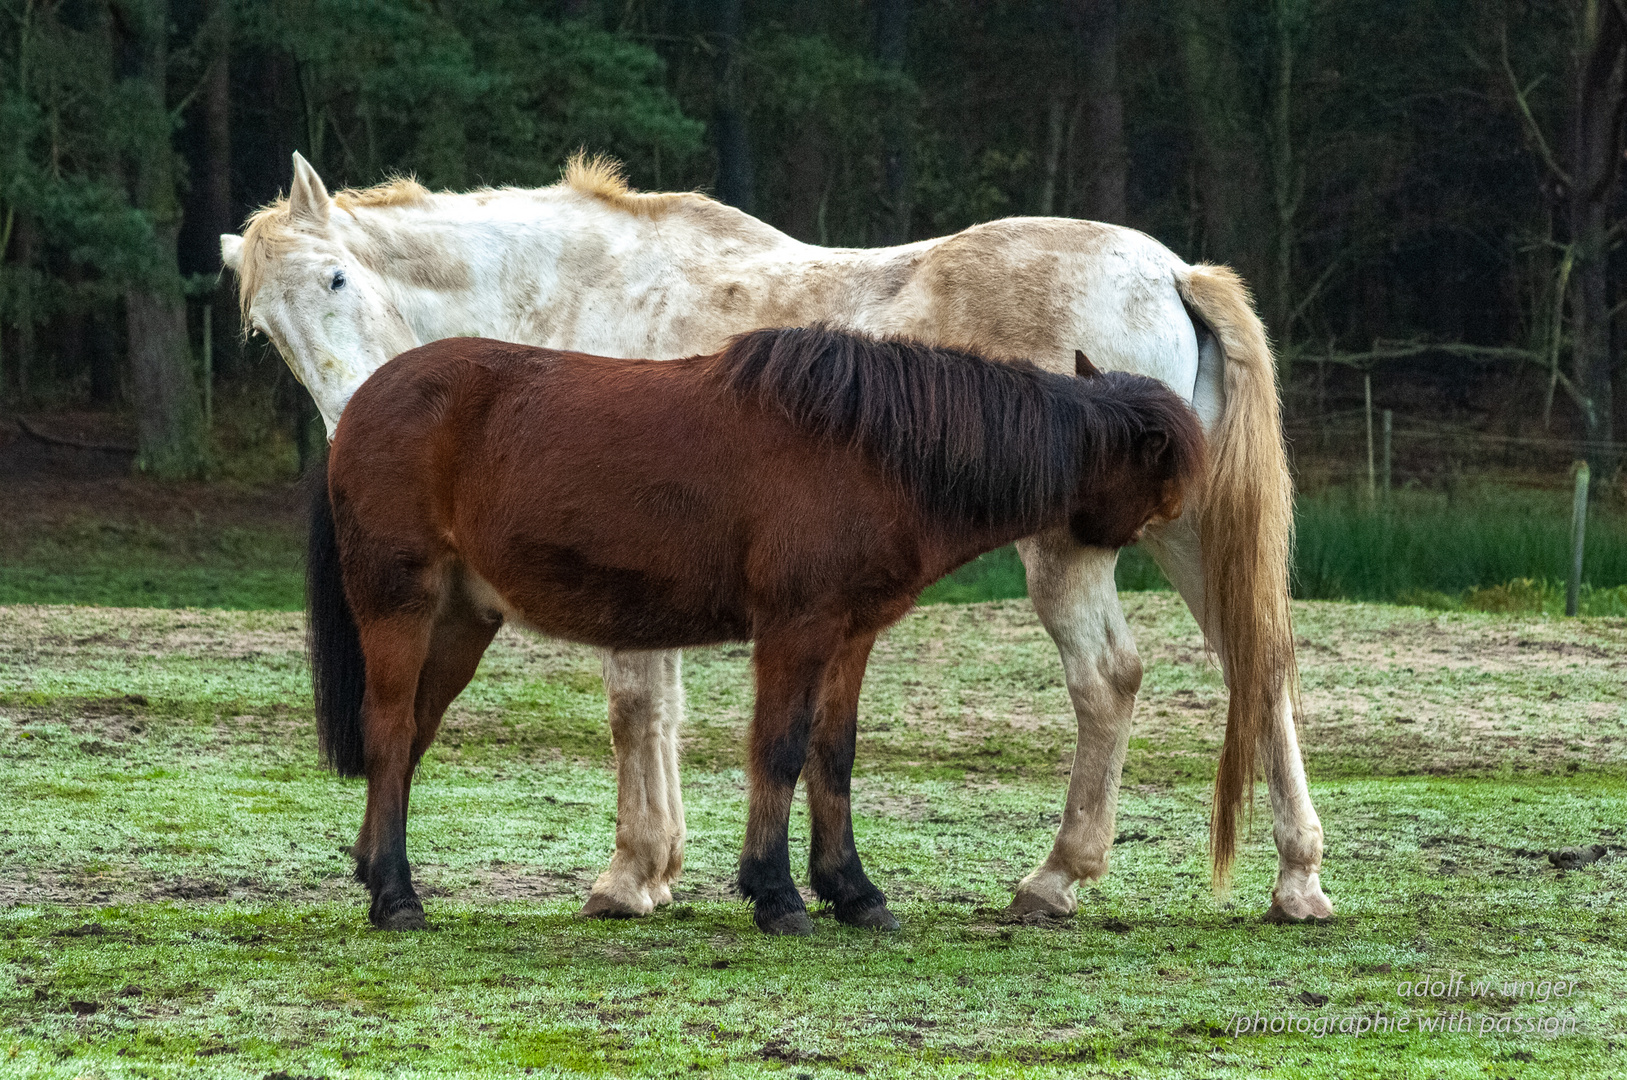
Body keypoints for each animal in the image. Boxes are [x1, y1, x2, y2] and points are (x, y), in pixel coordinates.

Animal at [310, 325, 1203, 930]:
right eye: (1162, 482)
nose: (1117, 543)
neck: (869, 447)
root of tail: (361, 405)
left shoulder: (850, 634)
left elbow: (831, 756)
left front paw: (852, 891)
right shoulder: (796, 630)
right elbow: (777, 748)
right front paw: (775, 894)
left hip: (462, 620)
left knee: (411, 738)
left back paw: (374, 872)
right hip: (400, 606)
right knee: (389, 732)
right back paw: (396, 896)